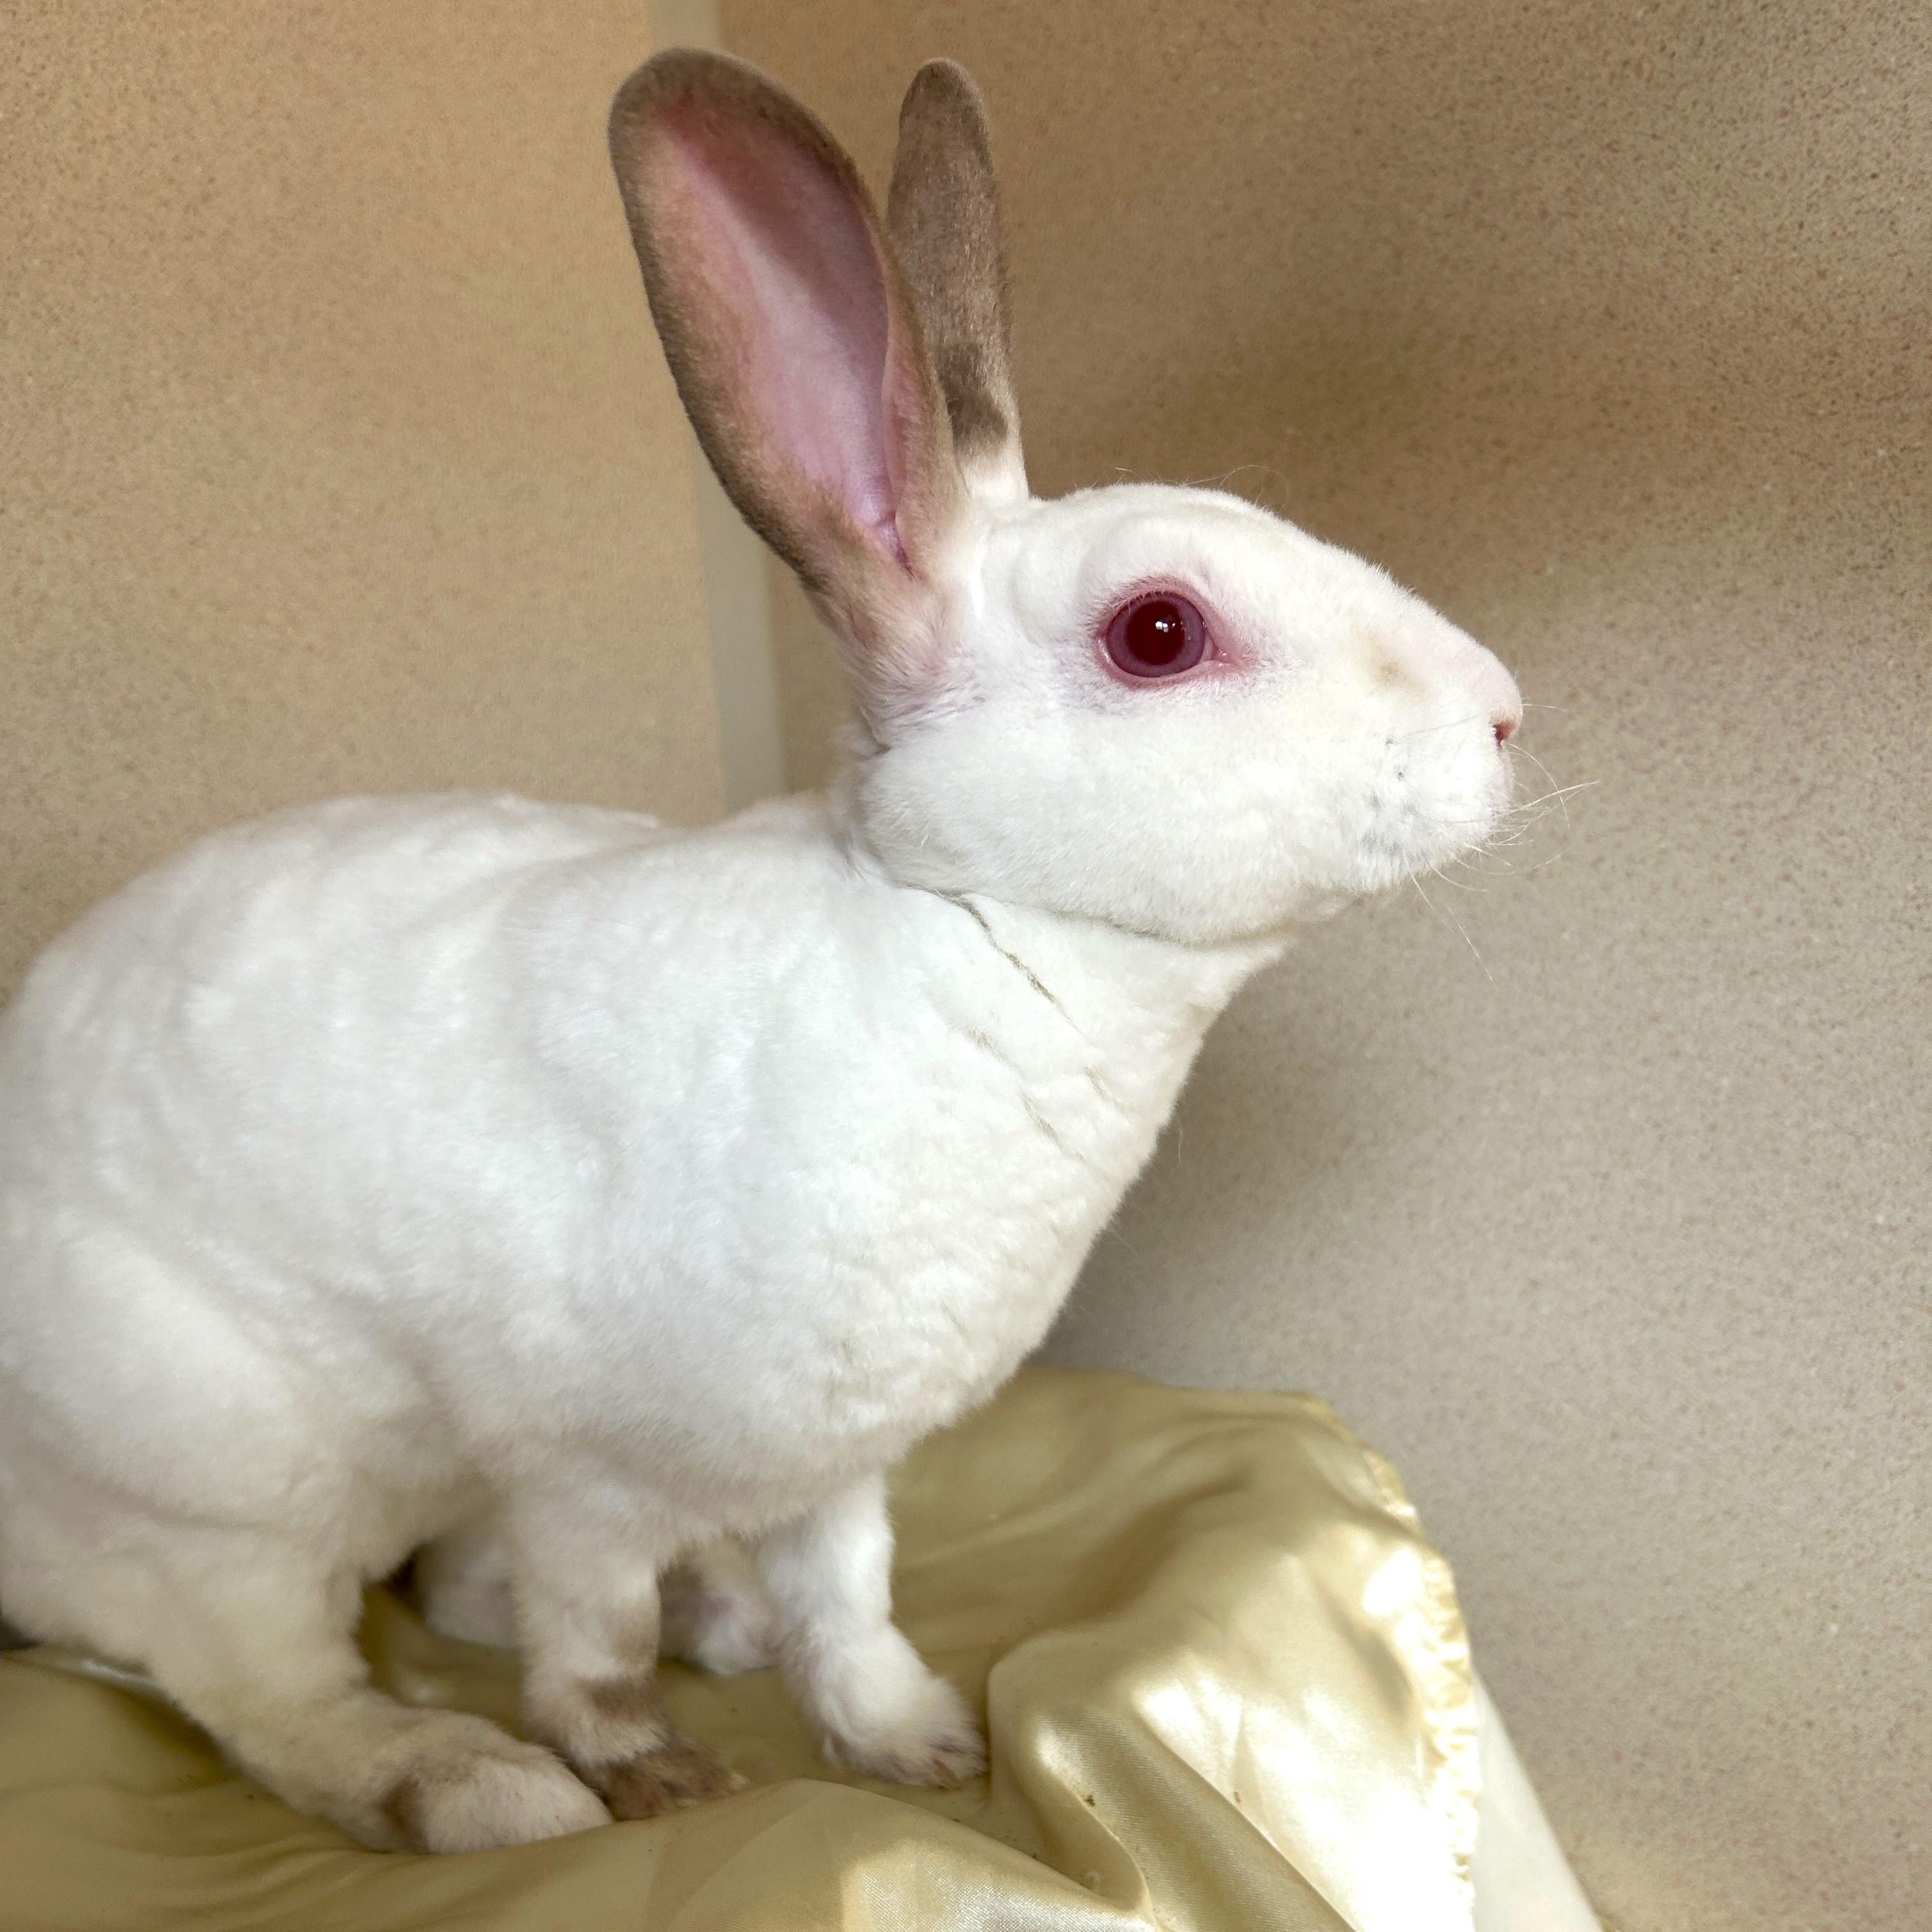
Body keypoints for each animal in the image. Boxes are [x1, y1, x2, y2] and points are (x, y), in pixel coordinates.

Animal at [0, 48, 1522, 1854]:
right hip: (224, 1492)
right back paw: (483, 1788)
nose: (1507, 716)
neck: (956, 931)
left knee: (447, 1596)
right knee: (275, 1696)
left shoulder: (836, 1463)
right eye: (1160, 633)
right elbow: (590, 1639)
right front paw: (657, 1776)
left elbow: (847, 1609)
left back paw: (704, 1617)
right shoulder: (578, 1466)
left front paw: (923, 1746)